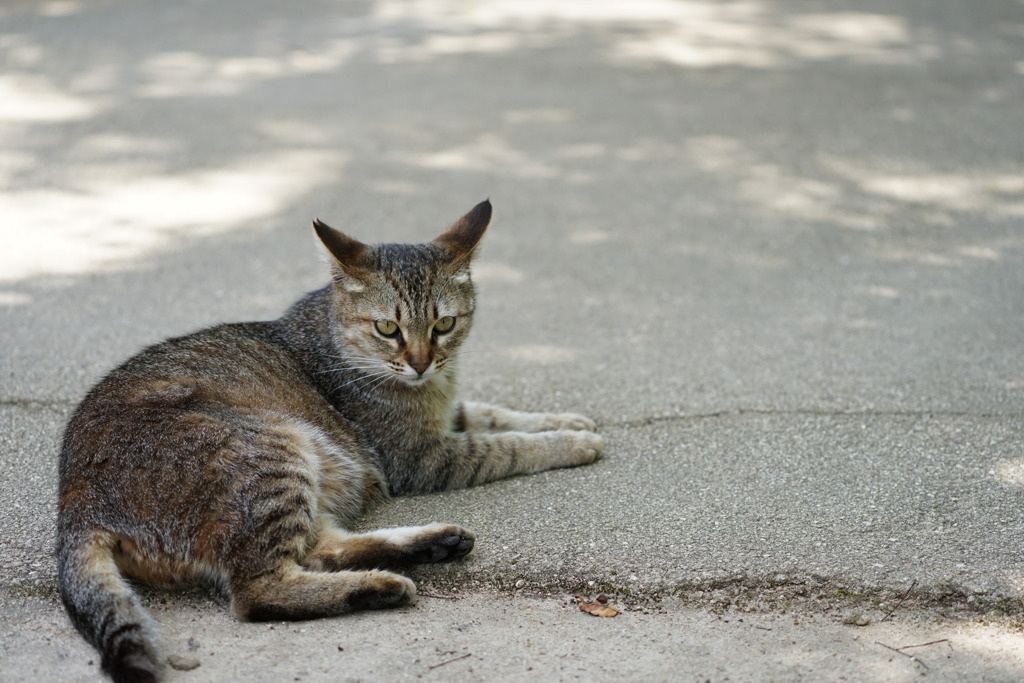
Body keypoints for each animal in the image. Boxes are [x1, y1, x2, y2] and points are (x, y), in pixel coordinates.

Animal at [56, 200, 602, 683]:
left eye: (444, 324)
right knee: (259, 591)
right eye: (388, 327)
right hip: (276, 453)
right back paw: (380, 586)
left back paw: (430, 545)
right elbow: (508, 446)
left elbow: (494, 414)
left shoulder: (448, 413)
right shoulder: (422, 457)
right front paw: (572, 443)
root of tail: (75, 503)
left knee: (320, 551)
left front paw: (569, 420)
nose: (421, 363)